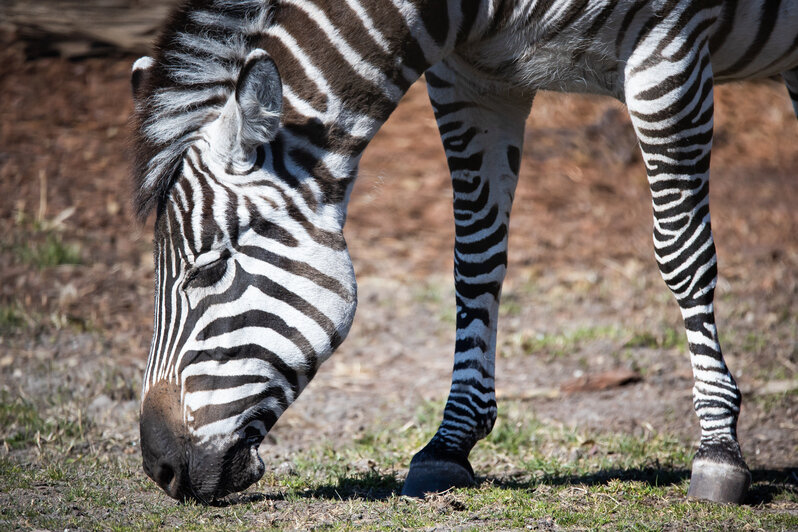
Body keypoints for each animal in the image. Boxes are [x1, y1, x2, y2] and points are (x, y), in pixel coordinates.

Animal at [133, 0, 798, 502]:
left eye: (210, 268)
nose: (159, 470)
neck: (469, 11)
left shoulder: (670, 48)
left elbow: (683, 251)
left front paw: (718, 449)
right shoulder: (474, 80)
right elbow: (475, 259)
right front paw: (450, 444)